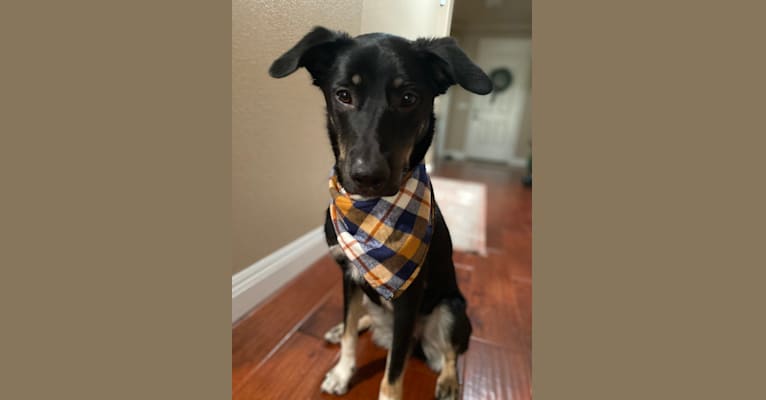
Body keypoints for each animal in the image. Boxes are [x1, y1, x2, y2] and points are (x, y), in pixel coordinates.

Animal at [270, 26, 496, 398]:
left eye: (408, 98)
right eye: (343, 95)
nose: (366, 176)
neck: (370, 213)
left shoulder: (409, 298)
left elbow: (393, 371)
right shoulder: (348, 275)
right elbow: (350, 333)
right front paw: (342, 372)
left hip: (452, 308)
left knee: (451, 352)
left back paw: (449, 381)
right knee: (359, 316)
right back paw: (343, 327)